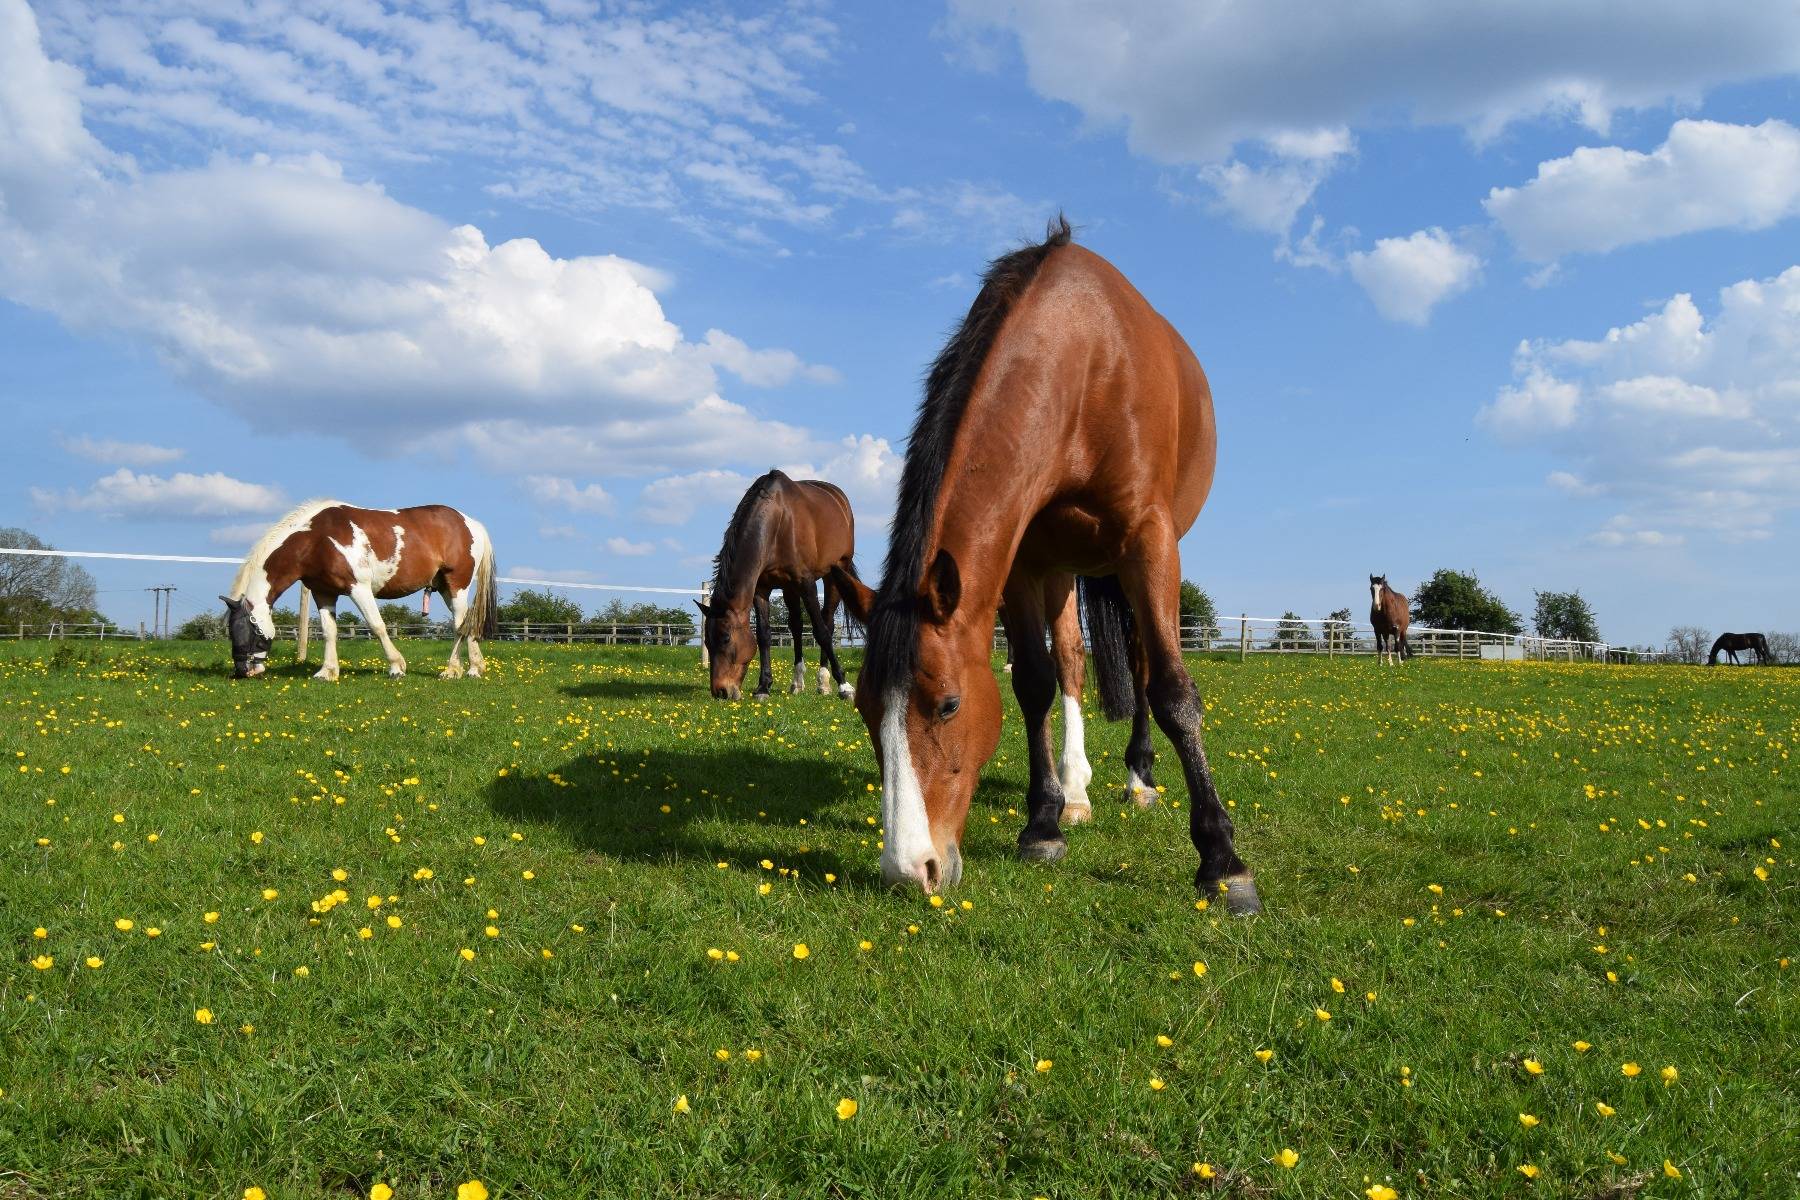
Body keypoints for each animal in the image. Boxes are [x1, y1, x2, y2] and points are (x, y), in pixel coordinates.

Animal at [221, 500, 496, 681]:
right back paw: (473, 668)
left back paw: (452, 670)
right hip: (445, 589)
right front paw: (327, 671)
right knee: (466, 623)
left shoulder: (359, 589)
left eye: (251, 630)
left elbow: (377, 626)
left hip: (457, 586)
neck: (317, 540)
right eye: (230, 632)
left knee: (460, 626)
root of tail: (470, 522)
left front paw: (397, 667)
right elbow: (329, 631)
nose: (243, 671)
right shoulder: (323, 593)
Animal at [697, 470, 862, 701]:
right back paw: (797, 682)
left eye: (726, 638)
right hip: (789, 589)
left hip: (835, 573)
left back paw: (824, 682)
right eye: (707, 642)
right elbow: (764, 636)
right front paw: (763, 687)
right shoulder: (762, 589)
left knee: (827, 622)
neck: (778, 523)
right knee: (796, 627)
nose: (720, 691)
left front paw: (845, 686)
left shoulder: (806, 583)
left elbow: (821, 631)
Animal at [849, 217, 1259, 913]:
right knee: (1071, 659)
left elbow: (1173, 691)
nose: (910, 870)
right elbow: (1035, 682)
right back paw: (1075, 789)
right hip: (1067, 567)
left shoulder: (1151, 541)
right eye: (867, 710)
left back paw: (1138, 778)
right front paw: (1042, 823)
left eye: (948, 706)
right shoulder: (1024, 558)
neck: (1085, 360)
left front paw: (1222, 860)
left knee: (1142, 664)